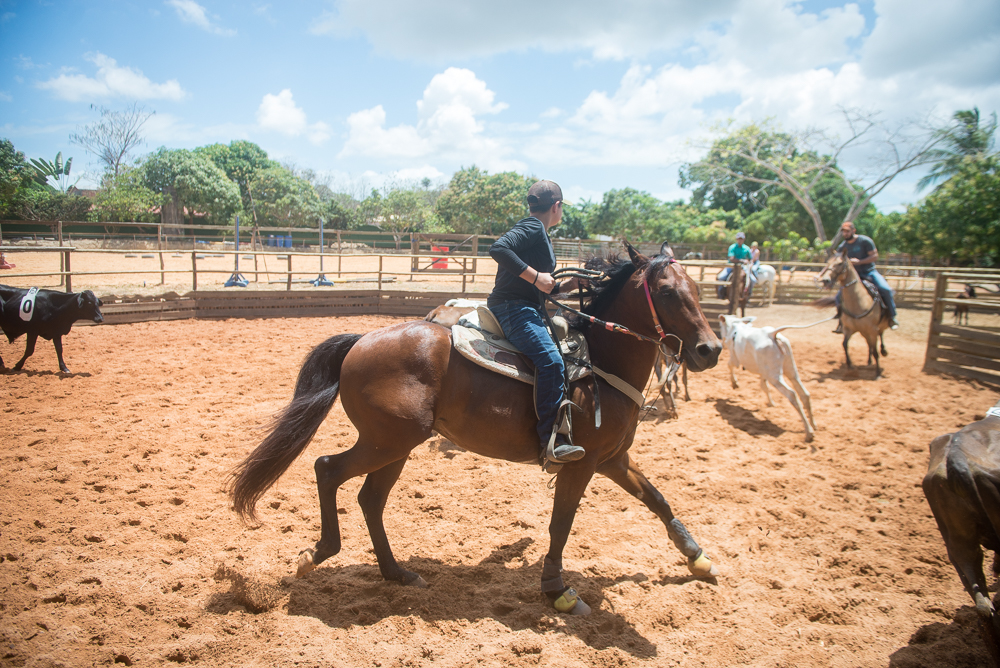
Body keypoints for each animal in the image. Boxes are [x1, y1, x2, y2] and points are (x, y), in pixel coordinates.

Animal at [230, 241, 724, 616]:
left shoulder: (613, 460)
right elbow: (561, 524)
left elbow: (657, 499)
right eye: (666, 292)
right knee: (328, 469)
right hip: (387, 441)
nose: (710, 349)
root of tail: (361, 341)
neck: (601, 361)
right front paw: (557, 590)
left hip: (396, 445)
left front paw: (697, 557)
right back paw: (317, 554)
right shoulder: (580, 465)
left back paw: (396, 572)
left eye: (696, 289)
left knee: (370, 499)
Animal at [724, 314, 816, 444]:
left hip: (774, 376)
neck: (736, 326)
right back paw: (813, 425)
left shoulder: (735, 358)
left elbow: (729, 365)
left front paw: (734, 383)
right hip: (790, 369)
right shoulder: (764, 372)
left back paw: (809, 432)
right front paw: (771, 403)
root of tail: (772, 334)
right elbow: (764, 386)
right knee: (804, 393)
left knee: (792, 394)